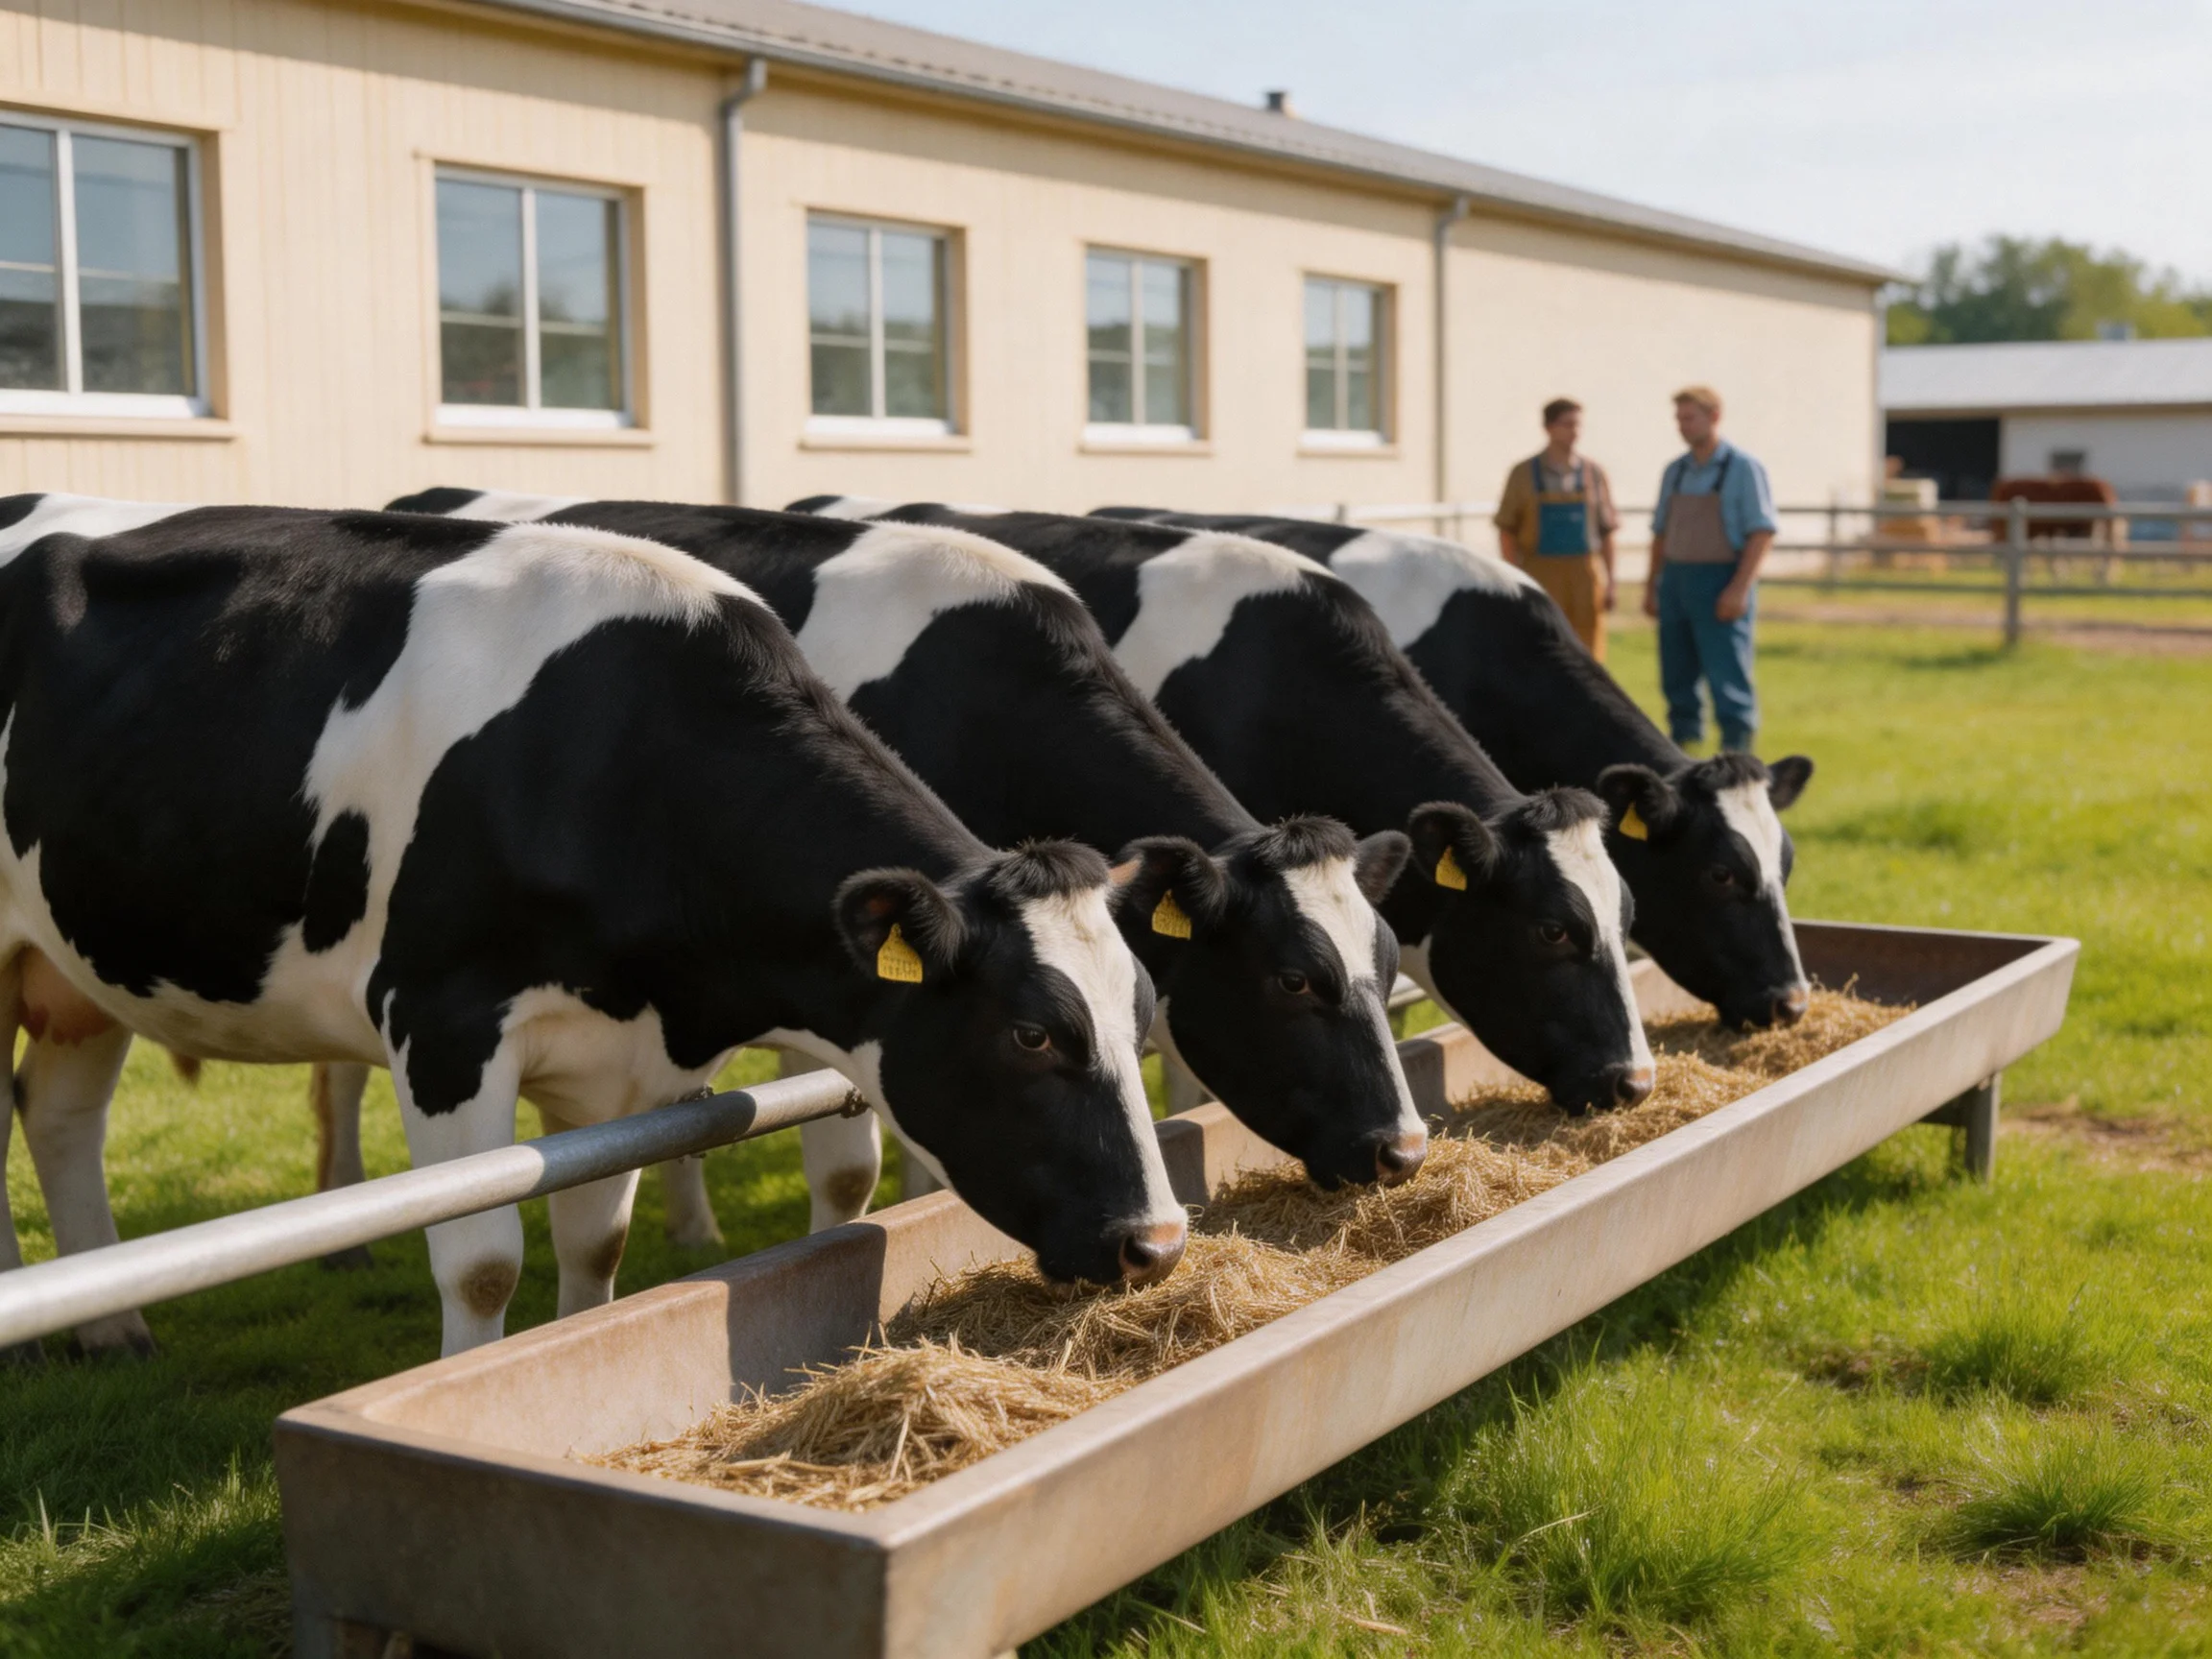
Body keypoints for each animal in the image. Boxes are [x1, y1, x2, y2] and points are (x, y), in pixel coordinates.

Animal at [0, 494, 1184, 1358]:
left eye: (1142, 1019)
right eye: (1032, 1033)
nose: (1159, 1244)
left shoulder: (615, 1069)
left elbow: (596, 1241)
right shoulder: (442, 1023)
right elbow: (481, 1261)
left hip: (74, 971)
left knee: (58, 1115)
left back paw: (112, 1328)